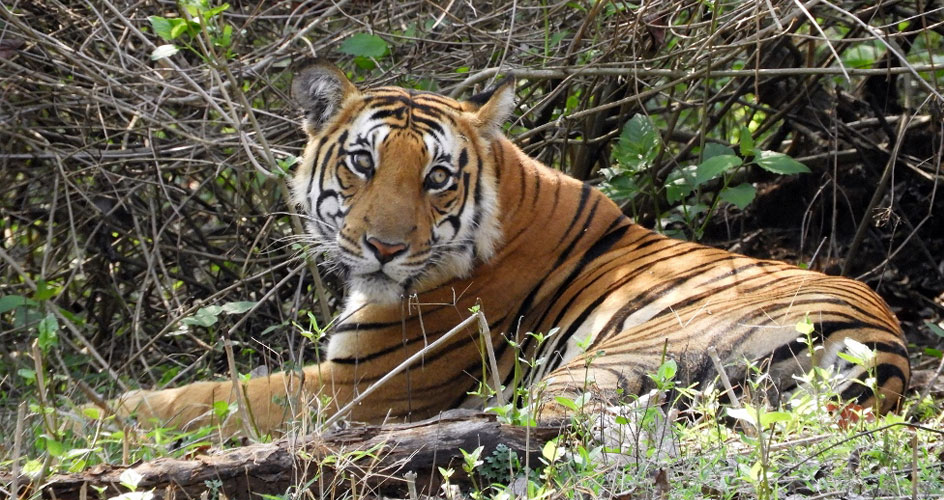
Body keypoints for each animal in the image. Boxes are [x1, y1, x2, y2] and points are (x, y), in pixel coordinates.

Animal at [107, 61, 912, 434]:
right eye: (362, 162)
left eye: (436, 177)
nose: (384, 248)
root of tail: (885, 357)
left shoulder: (361, 386)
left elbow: (207, 399)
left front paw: (97, 415)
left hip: (619, 358)